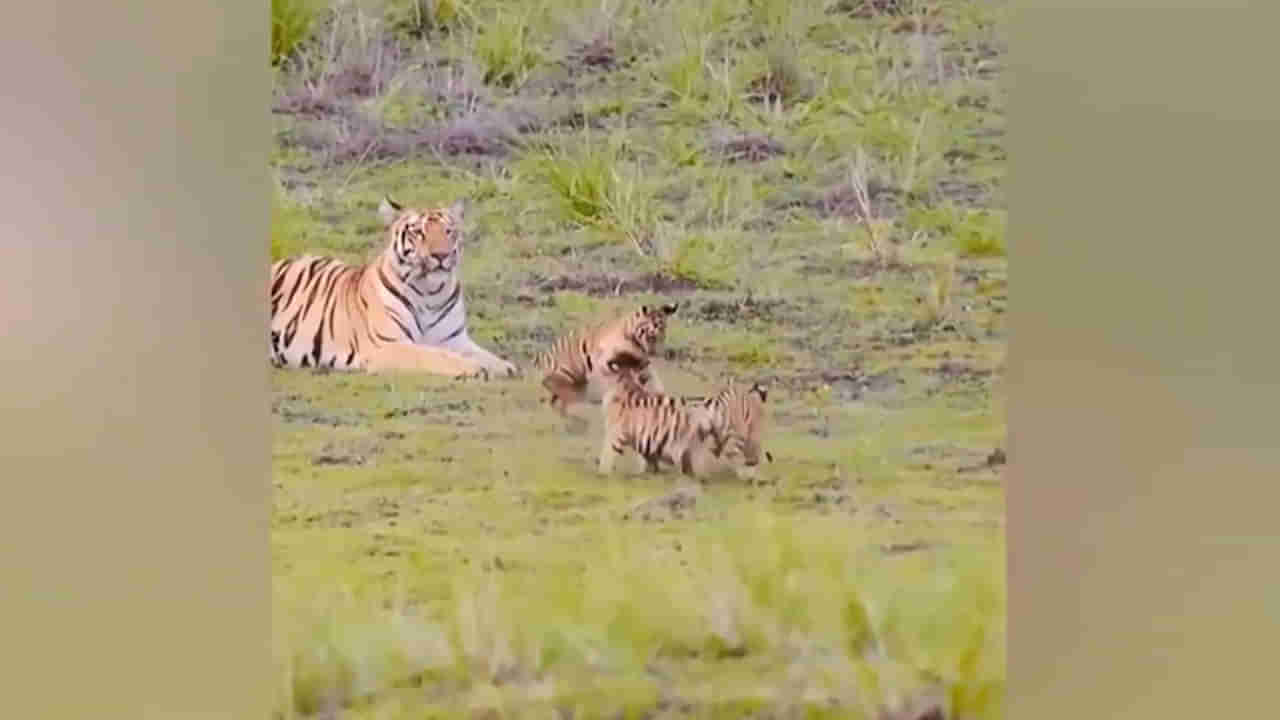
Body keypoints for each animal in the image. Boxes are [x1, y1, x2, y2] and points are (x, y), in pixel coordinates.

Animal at [269, 196, 517, 379]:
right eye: (418, 232)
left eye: (448, 231)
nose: (441, 255)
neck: (432, 294)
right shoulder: (388, 345)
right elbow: (434, 356)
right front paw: (473, 368)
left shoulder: (454, 340)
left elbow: (485, 355)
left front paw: (505, 366)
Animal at [533, 302, 679, 430]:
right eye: (652, 334)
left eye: (664, 333)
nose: (657, 352)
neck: (636, 343)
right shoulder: (607, 363)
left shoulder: (641, 364)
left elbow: (654, 383)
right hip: (568, 377)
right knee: (561, 398)